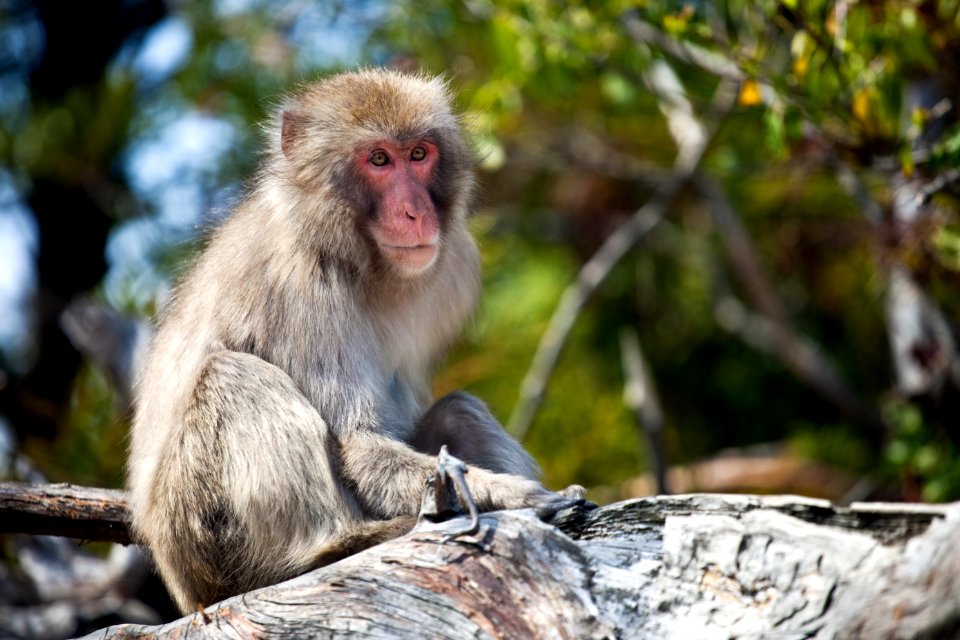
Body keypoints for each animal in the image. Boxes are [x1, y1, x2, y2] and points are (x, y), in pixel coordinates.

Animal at [127, 67, 588, 612]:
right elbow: (358, 445)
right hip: (202, 538)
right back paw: (328, 549)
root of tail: (182, 587)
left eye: (418, 154)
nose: (415, 212)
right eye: (379, 160)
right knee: (234, 377)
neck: (353, 253)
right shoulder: (299, 289)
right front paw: (512, 495)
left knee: (458, 409)